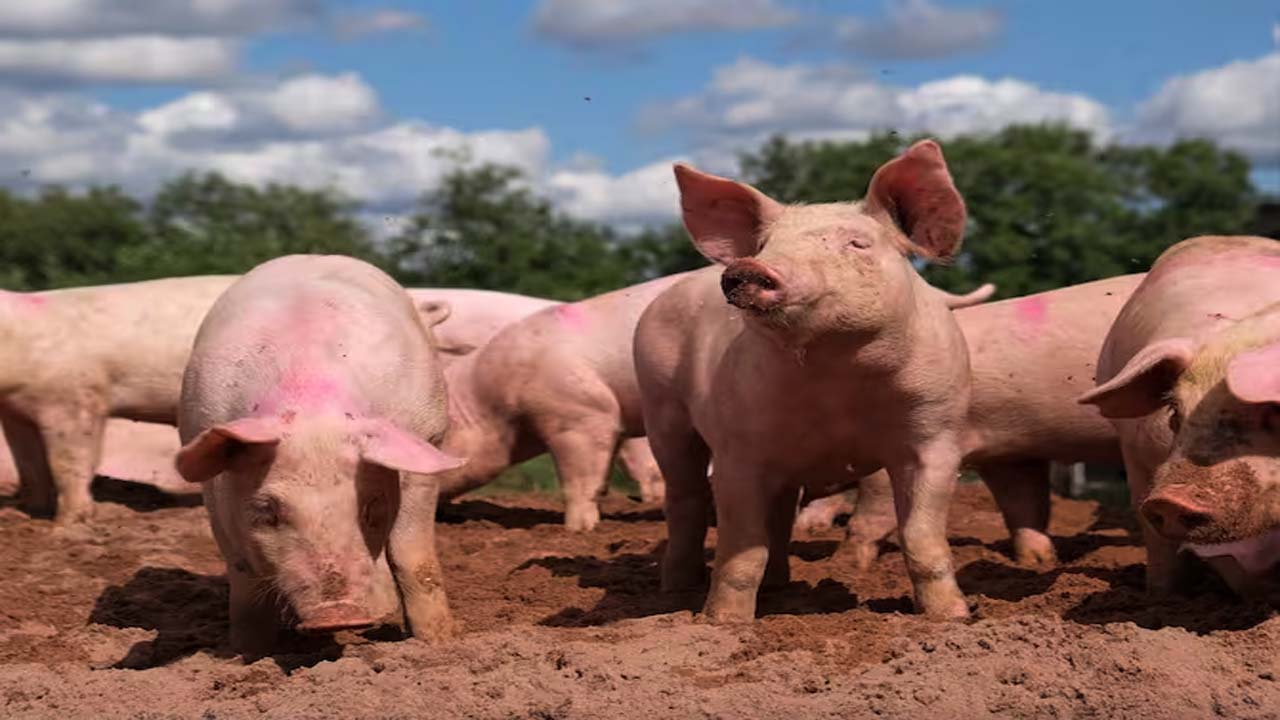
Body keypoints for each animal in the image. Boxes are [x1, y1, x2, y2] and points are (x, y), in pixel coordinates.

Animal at [0, 276, 236, 523]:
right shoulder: (16, 412)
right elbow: (28, 464)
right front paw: (28, 513)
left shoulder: (76, 396)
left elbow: (68, 462)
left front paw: (67, 523)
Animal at [175, 255, 464, 653]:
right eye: (267, 510)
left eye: (370, 508)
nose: (338, 615)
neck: (310, 397)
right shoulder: (213, 482)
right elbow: (244, 580)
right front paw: (248, 654)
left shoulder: (424, 438)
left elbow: (412, 557)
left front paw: (437, 643)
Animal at [635, 140, 975, 622]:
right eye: (765, 244)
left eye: (857, 243)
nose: (750, 267)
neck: (836, 379)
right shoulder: (738, 449)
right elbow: (741, 550)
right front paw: (722, 623)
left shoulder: (938, 437)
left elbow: (921, 538)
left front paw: (951, 618)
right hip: (661, 408)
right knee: (685, 498)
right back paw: (677, 591)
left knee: (776, 516)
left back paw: (779, 587)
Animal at [801, 273, 1147, 569]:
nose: (804, 529)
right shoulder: (1009, 453)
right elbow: (1024, 509)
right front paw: (1037, 563)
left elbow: (871, 515)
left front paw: (843, 567)